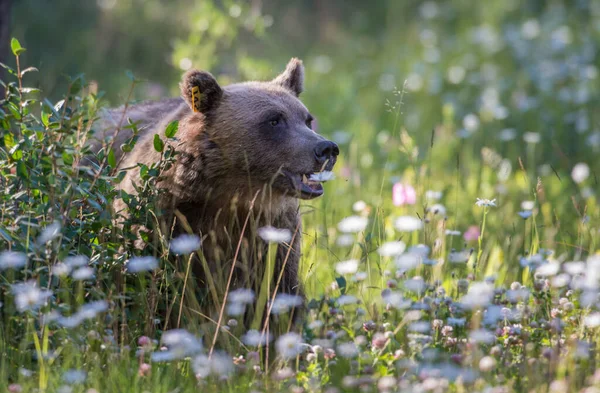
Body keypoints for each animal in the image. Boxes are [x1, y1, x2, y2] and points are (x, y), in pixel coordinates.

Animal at [94, 58, 338, 326]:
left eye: (307, 119)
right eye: (274, 120)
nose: (326, 148)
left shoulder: (272, 239)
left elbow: (276, 299)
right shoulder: (163, 225)